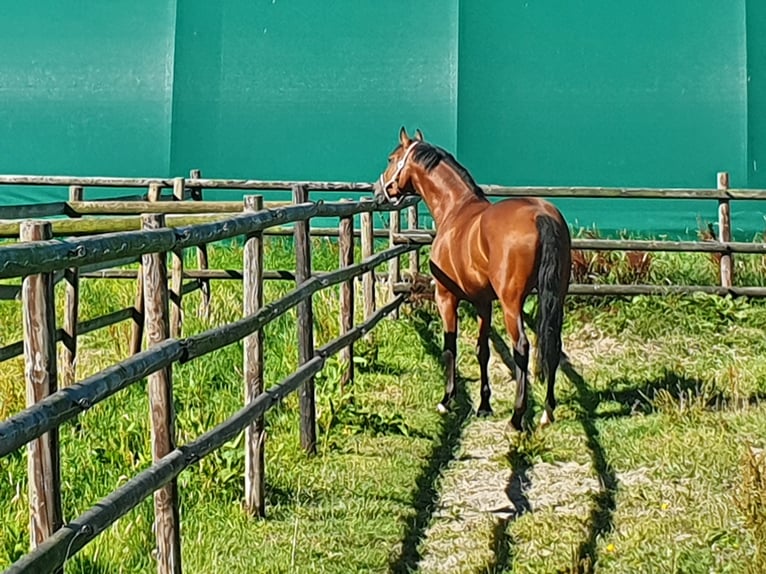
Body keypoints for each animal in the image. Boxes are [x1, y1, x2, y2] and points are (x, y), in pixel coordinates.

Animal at [376, 127, 572, 432]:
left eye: (391, 158)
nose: (378, 191)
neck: (455, 209)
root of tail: (542, 214)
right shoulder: (483, 302)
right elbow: (483, 351)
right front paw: (484, 405)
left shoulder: (446, 297)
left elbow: (450, 346)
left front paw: (447, 400)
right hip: (556, 297)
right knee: (553, 344)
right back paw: (547, 412)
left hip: (511, 303)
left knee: (522, 347)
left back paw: (517, 417)